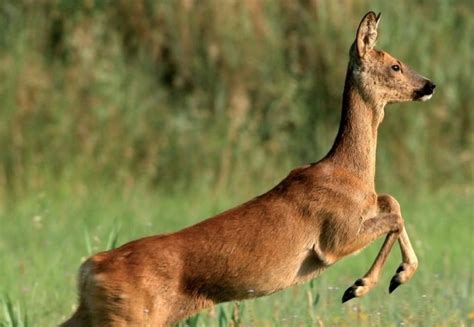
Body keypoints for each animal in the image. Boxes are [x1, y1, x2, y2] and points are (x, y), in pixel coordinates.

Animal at [61, 11, 436, 326]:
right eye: (395, 65)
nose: (430, 85)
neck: (351, 171)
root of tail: (89, 269)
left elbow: (391, 201)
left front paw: (393, 277)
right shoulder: (335, 238)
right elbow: (394, 213)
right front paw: (365, 285)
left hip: (97, 315)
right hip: (134, 316)